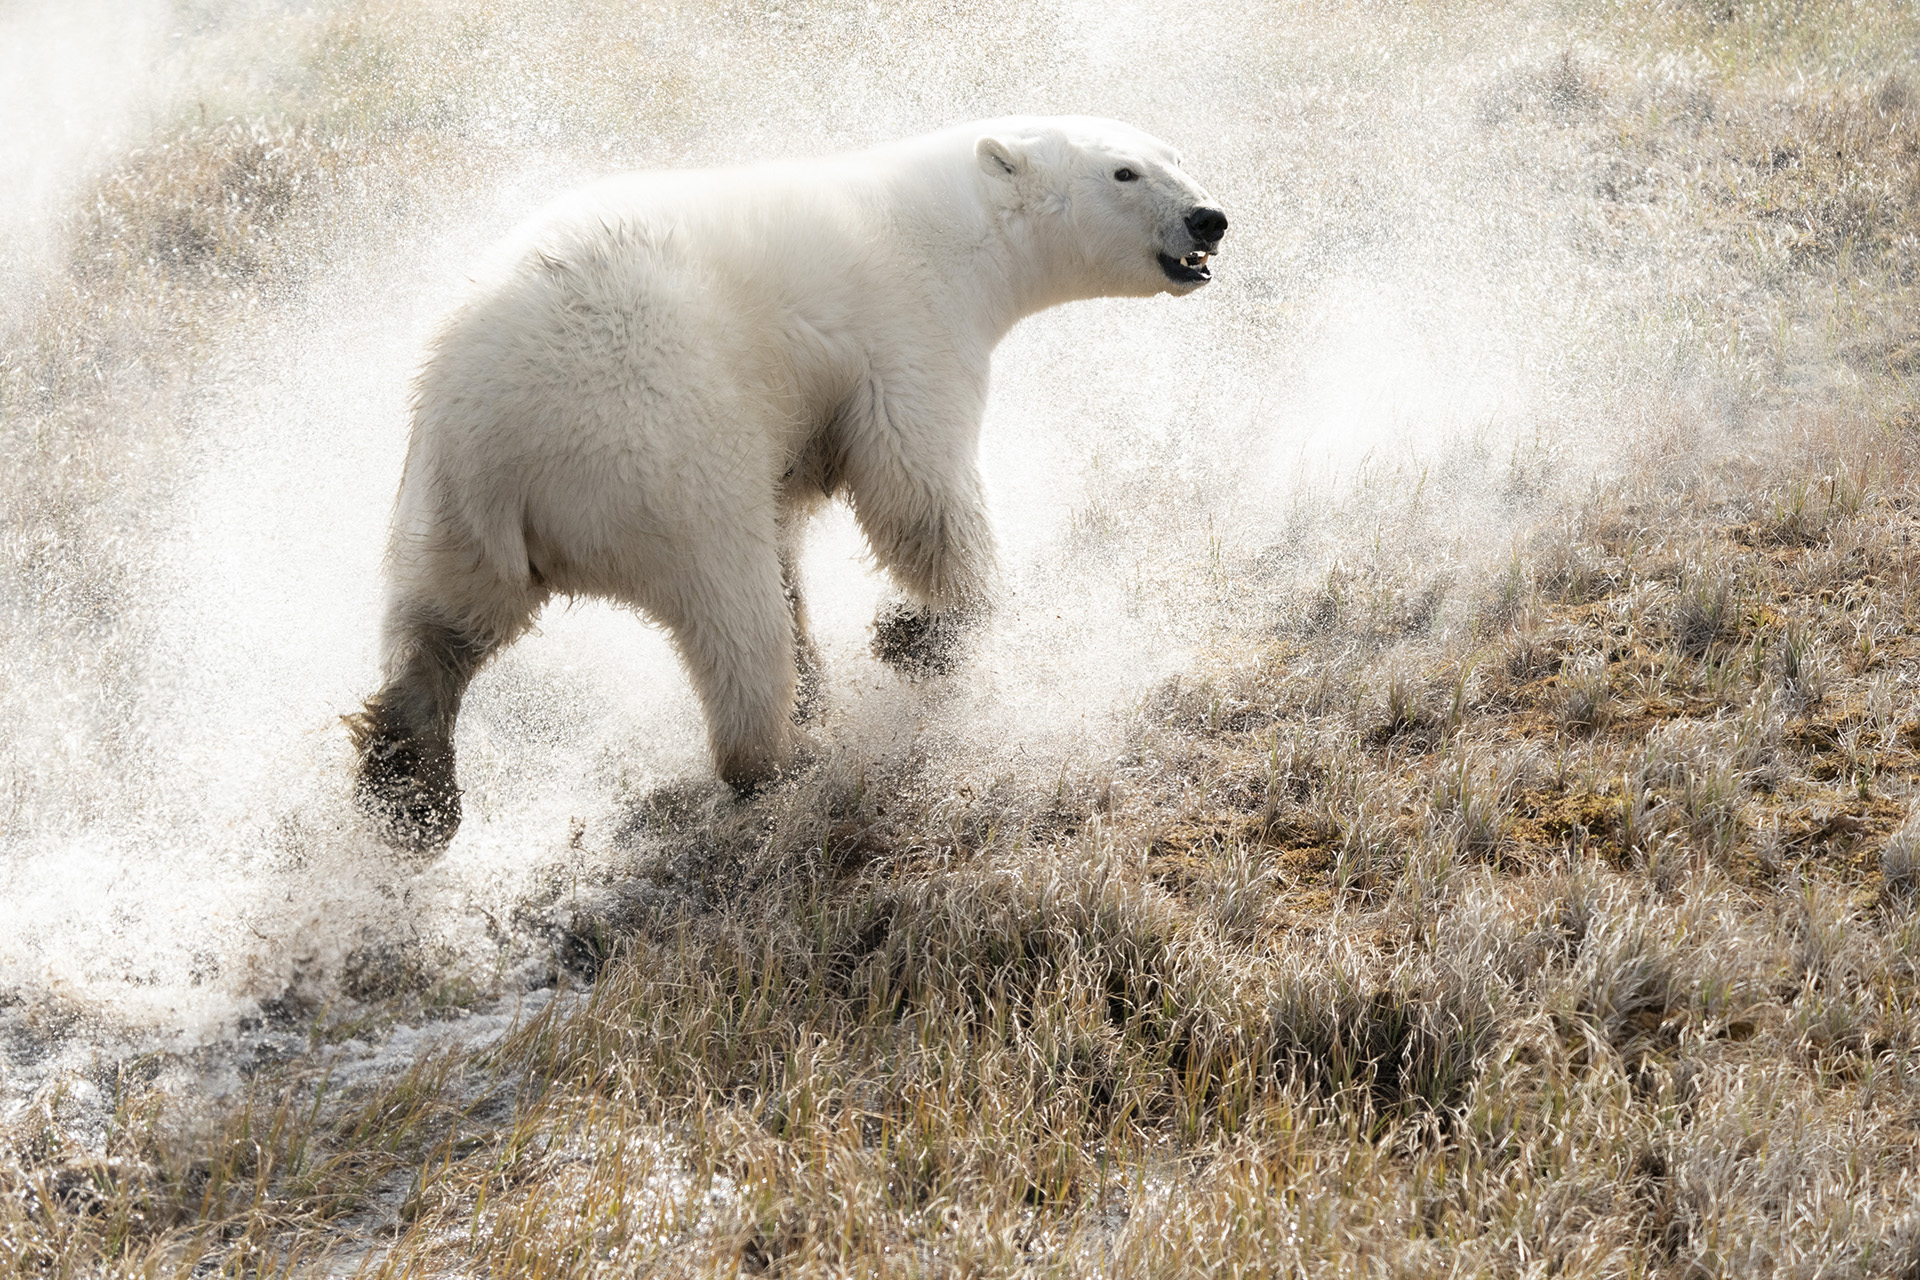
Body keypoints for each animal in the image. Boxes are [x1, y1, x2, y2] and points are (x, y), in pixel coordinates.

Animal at [345, 115, 1229, 852]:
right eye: (1123, 171)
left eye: (1177, 153)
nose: (1210, 219)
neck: (948, 224)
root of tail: (498, 452)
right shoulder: (903, 329)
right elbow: (920, 492)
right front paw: (919, 634)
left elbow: (800, 524)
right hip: (659, 448)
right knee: (732, 611)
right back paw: (784, 756)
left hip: (445, 505)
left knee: (442, 621)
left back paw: (408, 785)